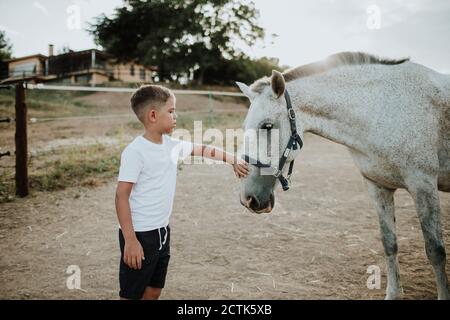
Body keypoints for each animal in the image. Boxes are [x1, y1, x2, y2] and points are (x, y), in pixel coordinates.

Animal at [236, 52, 450, 300]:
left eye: (267, 126)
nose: (249, 199)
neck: (381, 109)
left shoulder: (423, 185)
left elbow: (435, 251)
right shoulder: (378, 187)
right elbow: (390, 243)